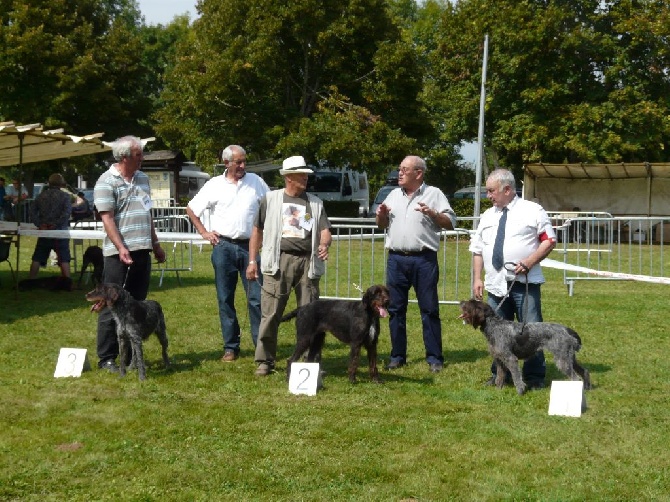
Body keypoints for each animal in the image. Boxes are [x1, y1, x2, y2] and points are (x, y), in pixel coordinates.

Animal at [460, 298, 592, 396]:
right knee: (584, 371)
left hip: (562, 360)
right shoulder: (499, 360)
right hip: (569, 357)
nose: (461, 302)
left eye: (470, 304)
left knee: (576, 378)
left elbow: (516, 377)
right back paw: (587, 387)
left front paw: (520, 391)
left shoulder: (510, 359)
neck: (494, 325)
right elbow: (499, 377)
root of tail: (567, 329)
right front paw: (498, 391)